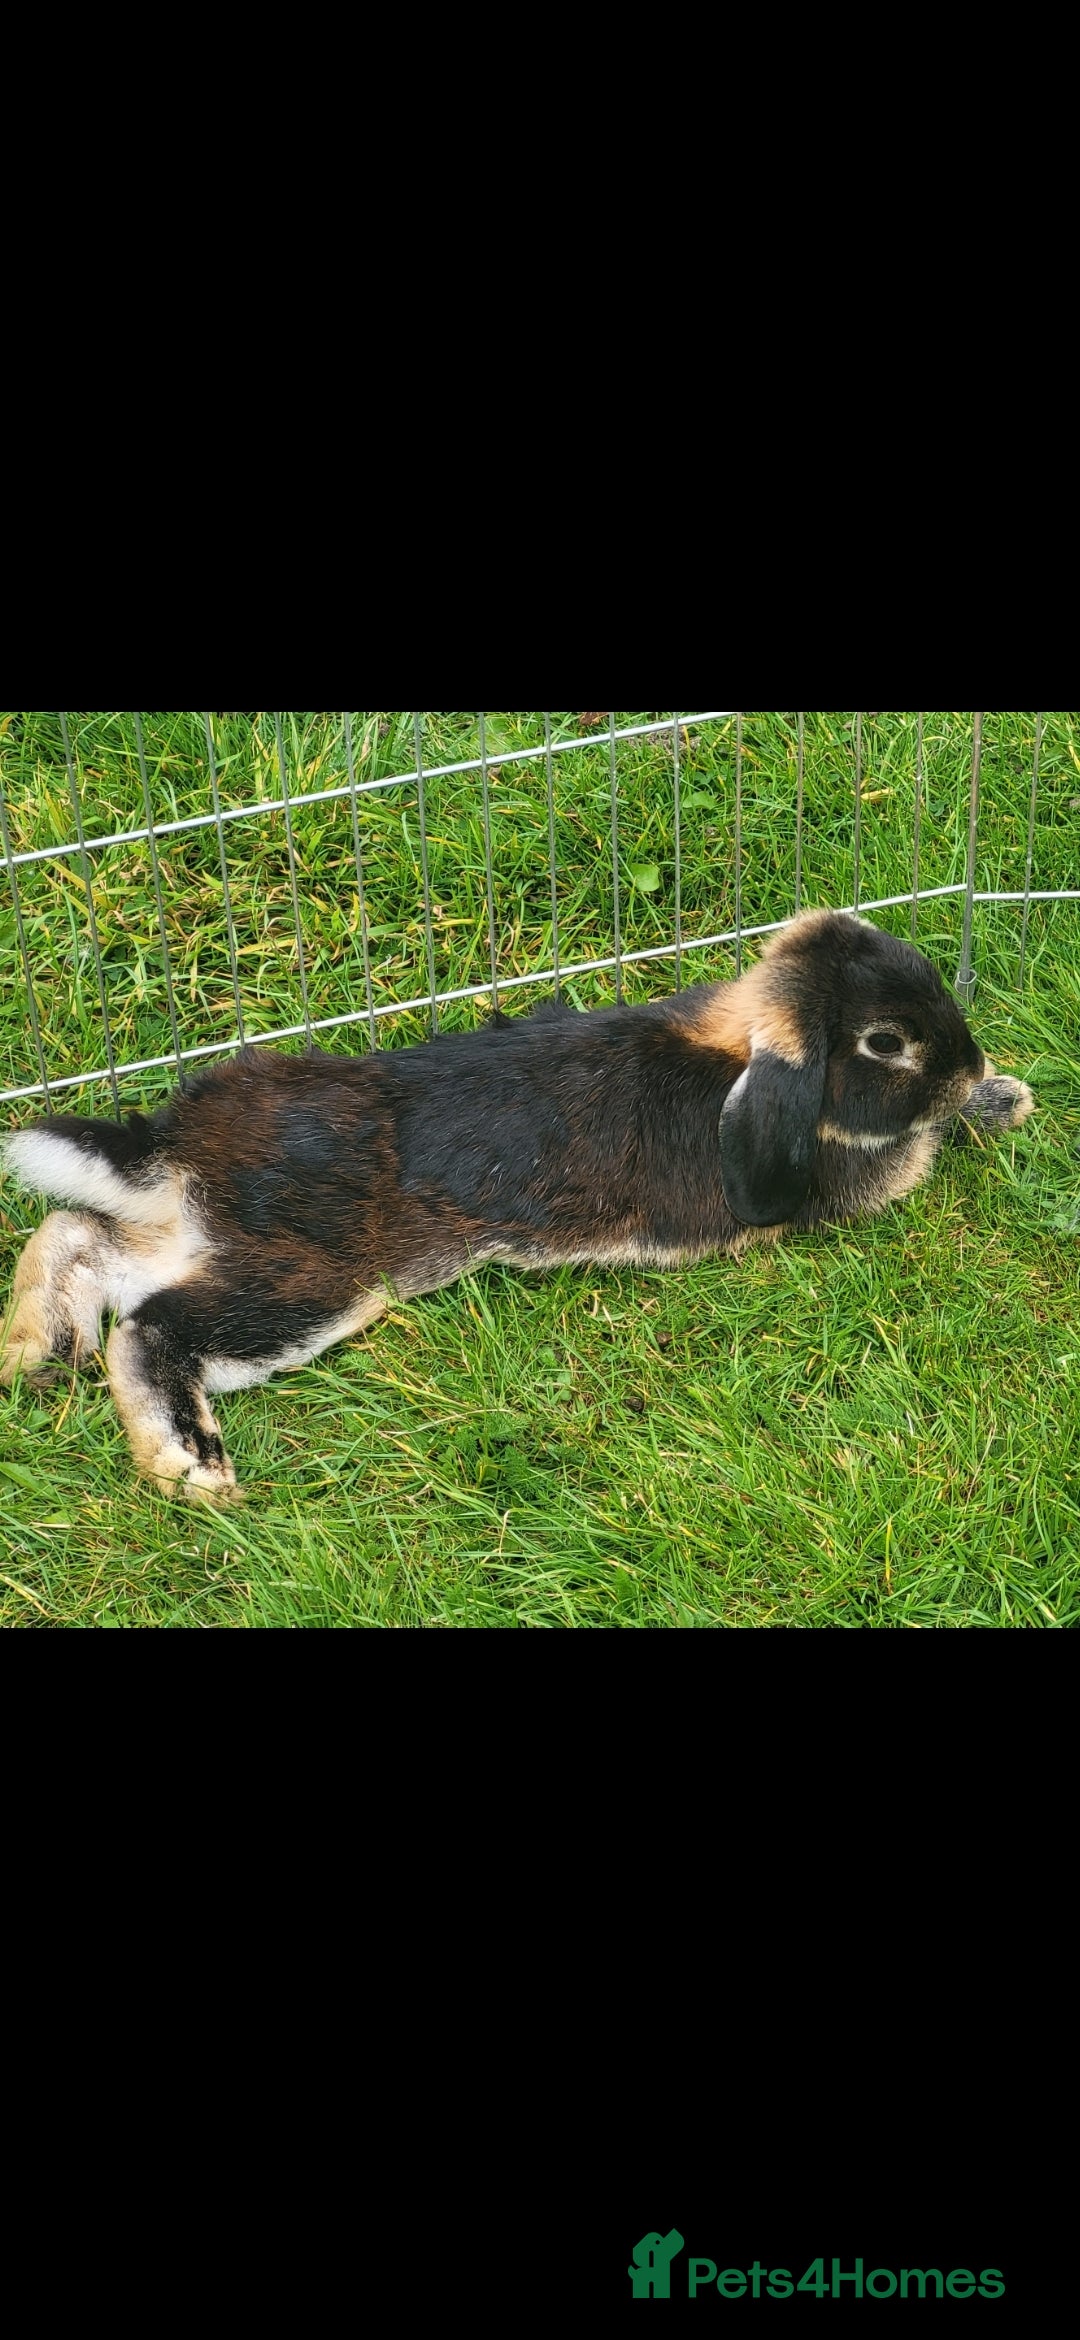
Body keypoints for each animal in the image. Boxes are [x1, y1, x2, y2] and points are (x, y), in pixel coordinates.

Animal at [0, 909, 1034, 1501]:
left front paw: (1006, 1098)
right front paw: (993, 1103)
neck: (739, 1059)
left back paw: (35, 1346)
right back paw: (187, 1462)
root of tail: (174, 1148)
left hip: (196, 1238)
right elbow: (921, 1148)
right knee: (150, 1326)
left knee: (77, 1232)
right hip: (309, 1280)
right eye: (885, 1043)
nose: (973, 1067)